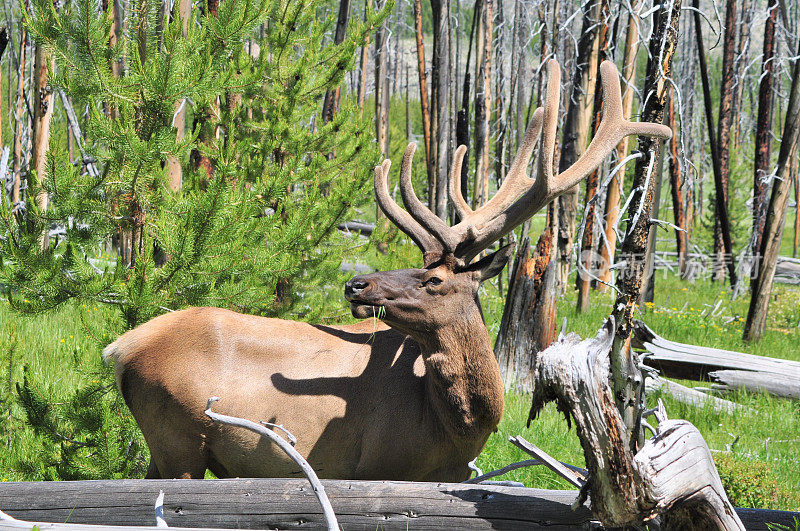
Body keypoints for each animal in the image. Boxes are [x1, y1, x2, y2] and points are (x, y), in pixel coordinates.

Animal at [104, 61, 668, 482]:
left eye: (432, 278)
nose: (357, 283)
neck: (459, 427)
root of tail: (120, 348)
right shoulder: (374, 465)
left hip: (166, 450)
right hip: (180, 440)